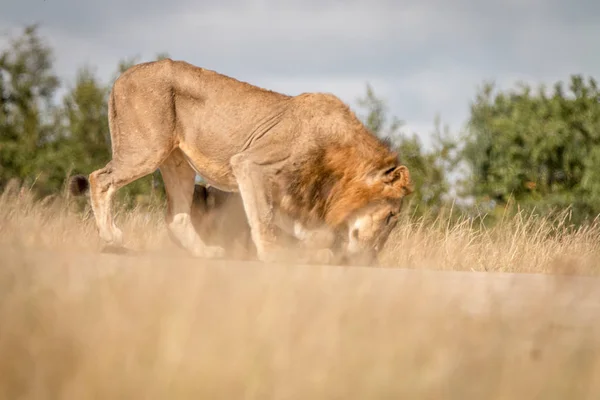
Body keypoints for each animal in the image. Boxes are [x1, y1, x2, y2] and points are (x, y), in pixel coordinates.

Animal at [75, 58, 412, 266]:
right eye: (390, 218)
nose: (372, 260)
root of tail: (123, 75)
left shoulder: (281, 191)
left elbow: (291, 225)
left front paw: (313, 250)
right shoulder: (251, 164)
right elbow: (262, 218)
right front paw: (274, 256)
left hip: (177, 163)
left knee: (176, 217)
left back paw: (206, 253)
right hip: (145, 150)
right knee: (99, 178)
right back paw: (112, 237)